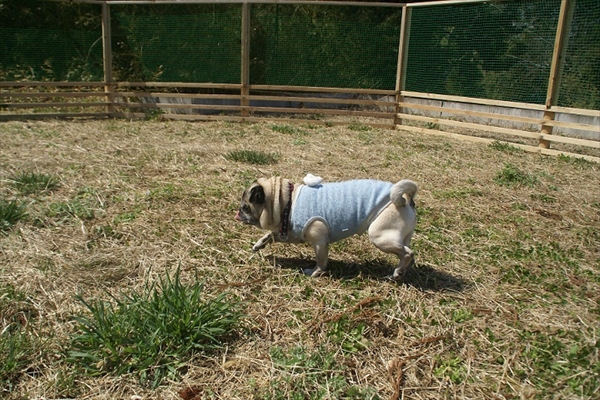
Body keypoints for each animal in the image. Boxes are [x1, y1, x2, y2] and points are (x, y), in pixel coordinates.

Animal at [234, 173, 418, 280]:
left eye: (245, 208)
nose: (238, 213)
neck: (287, 203)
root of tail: (405, 199)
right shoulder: (291, 233)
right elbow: (272, 235)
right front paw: (259, 244)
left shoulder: (320, 242)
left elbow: (321, 261)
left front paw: (315, 273)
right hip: (400, 237)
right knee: (407, 253)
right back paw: (401, 271)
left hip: (379, 235)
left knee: (408, 253)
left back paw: (398, 271)